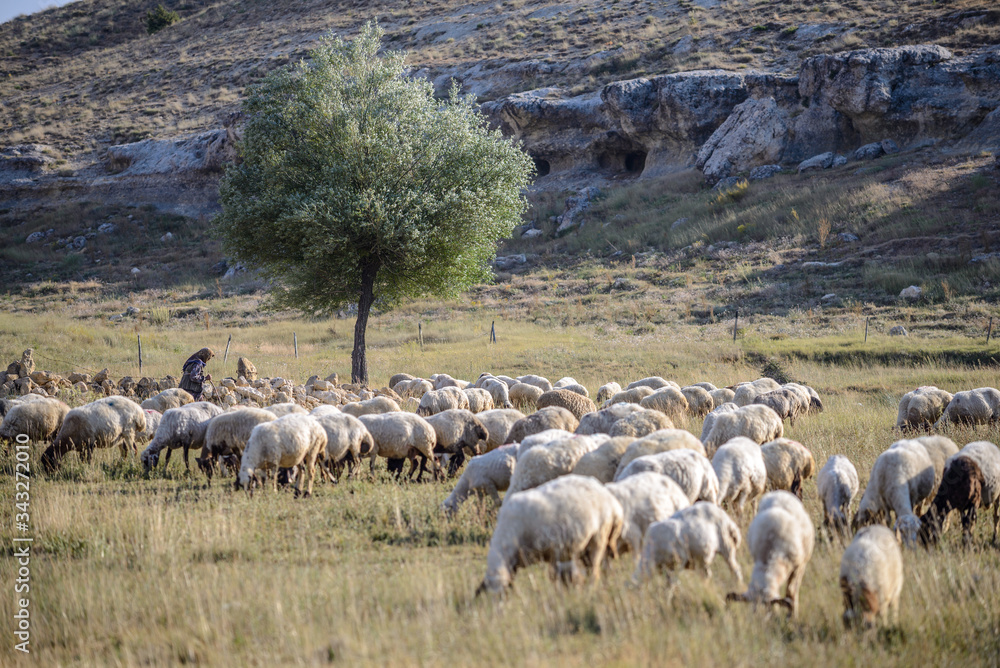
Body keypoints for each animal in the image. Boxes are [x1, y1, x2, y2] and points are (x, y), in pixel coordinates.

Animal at [476, 475, 624, 593]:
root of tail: (613, 504)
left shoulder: (554, 549)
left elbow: (555, 576)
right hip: (588, 545)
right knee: (601, 567)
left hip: (598, 537)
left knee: (594, 571)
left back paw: (591, 590)